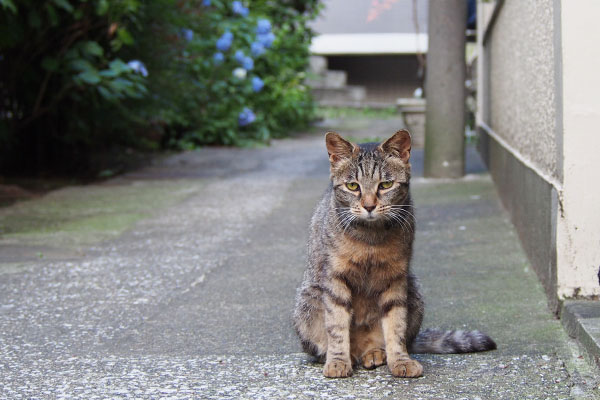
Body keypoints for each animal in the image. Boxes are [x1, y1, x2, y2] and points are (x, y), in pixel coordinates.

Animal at [292, 131, 494, 378]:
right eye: (352, 186)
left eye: (386, 184)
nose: (369, 206)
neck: (371, 239)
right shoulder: (334, 278)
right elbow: (337, 326)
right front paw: (338, 361)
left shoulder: (396, 278)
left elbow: (396, 326)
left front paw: (400, 360)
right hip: (307, 301)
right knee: (327, 346)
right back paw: (345, 356)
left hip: (413, 291)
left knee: (392, 341)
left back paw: (375, 353)